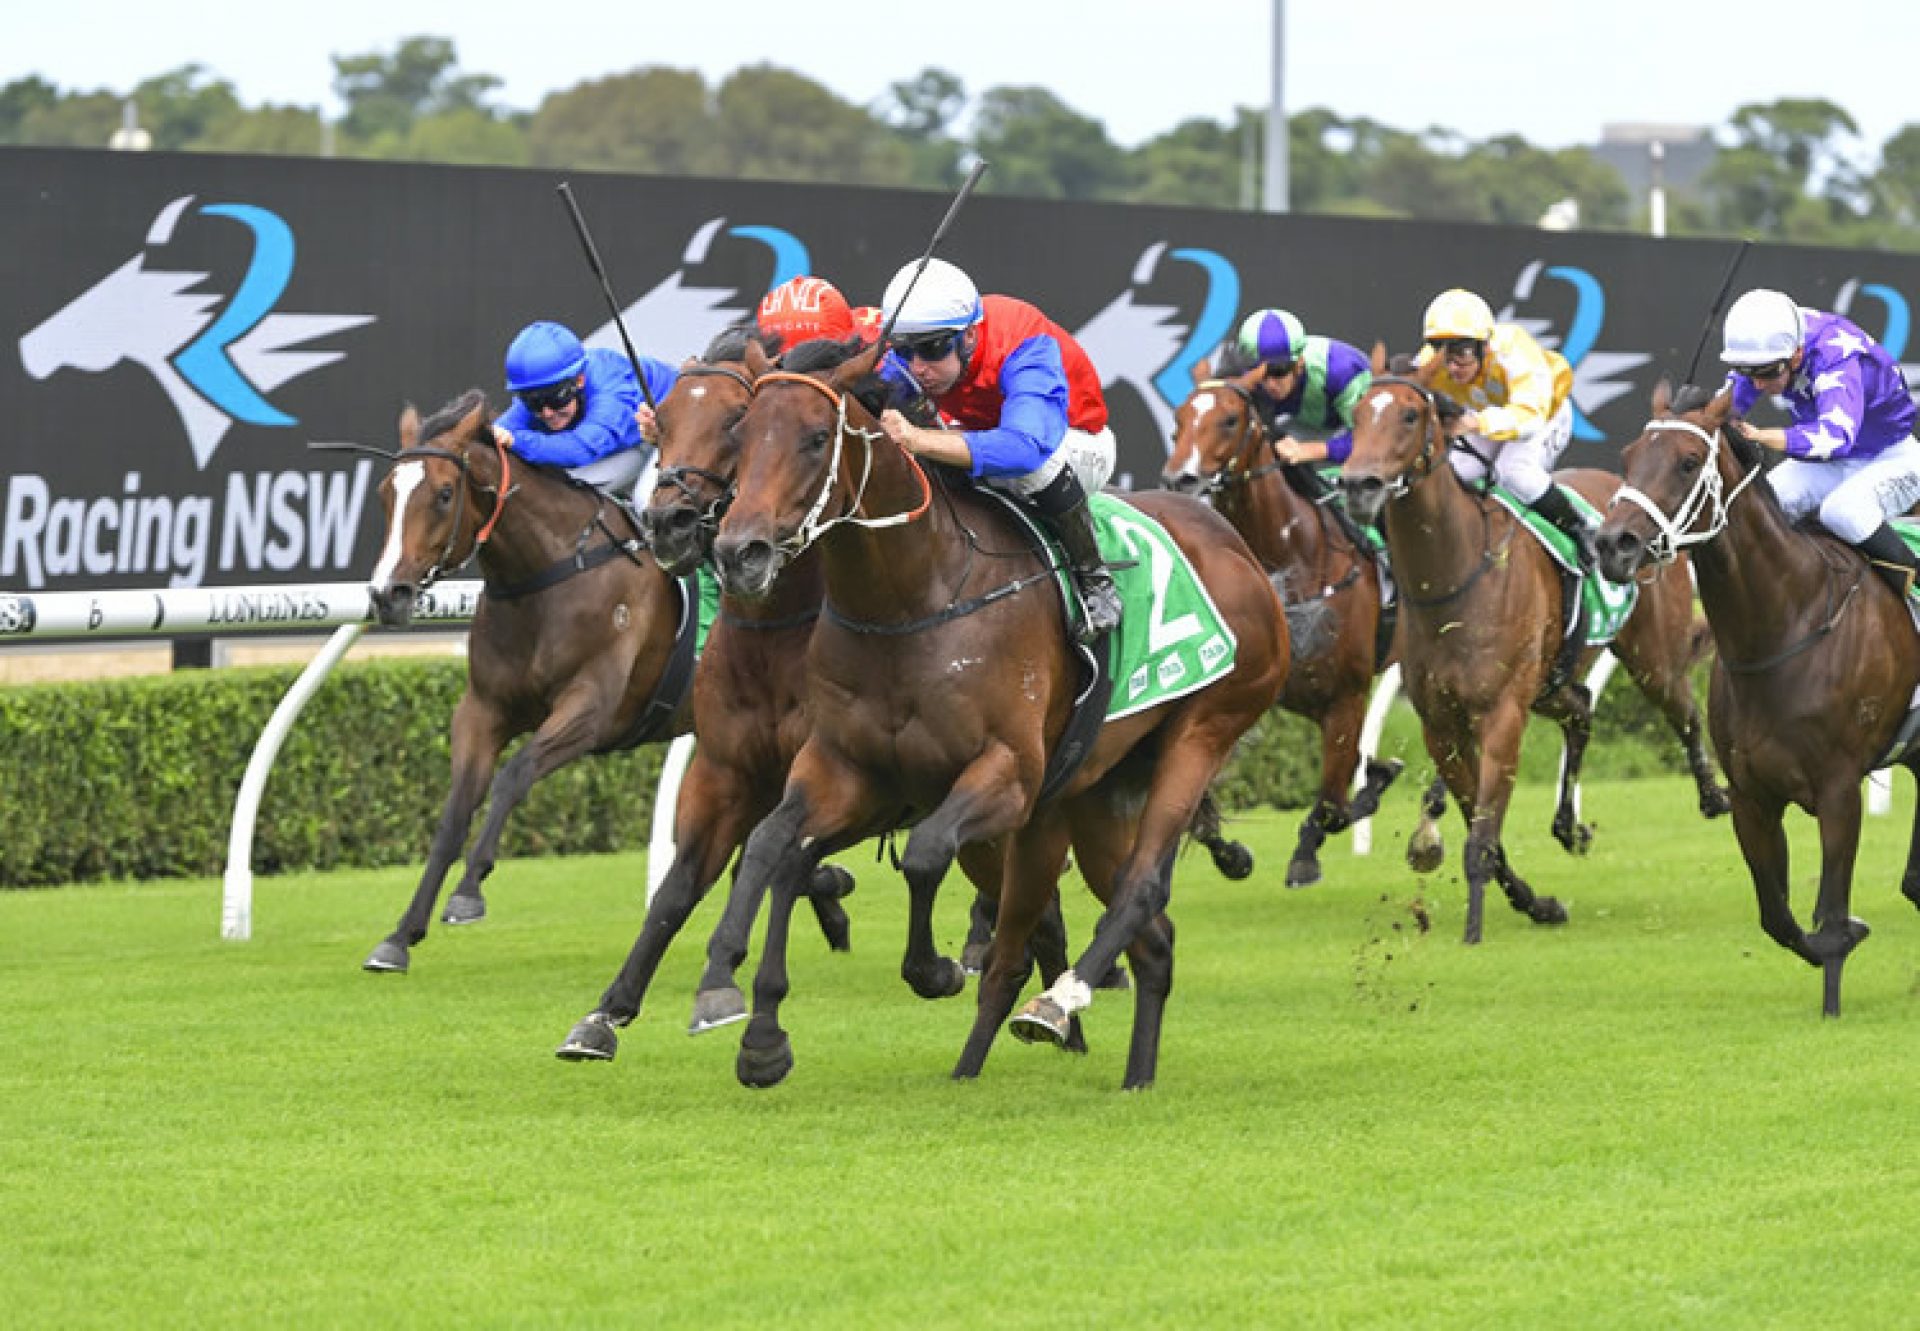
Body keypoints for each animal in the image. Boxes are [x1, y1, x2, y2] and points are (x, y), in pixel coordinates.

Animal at [706, 338, 1290, 1083]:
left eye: (814, 439)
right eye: (739, 436)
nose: (738, 553)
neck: (913, 597)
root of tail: (1236, 545)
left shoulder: (1008, 774)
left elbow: (924, 855)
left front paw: (930, 969)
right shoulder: (848, 768)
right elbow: (773, 845)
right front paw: (747, 1019)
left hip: (1203, 729)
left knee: (1138, 890)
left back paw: (1056, 1004)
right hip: (1093, 797)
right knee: (1145, 939)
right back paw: (1119, 1074)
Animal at [1159, 359, 1405, 887]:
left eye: (1230, 419)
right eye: (1178, 420)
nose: (1179, 480)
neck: (1296, 559)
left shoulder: (1346, 696)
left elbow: (1334, 803)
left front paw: (1306, 856)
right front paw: (1231, 853)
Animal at [1344, 347, 1735, 941]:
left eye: (1409, 416)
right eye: (1356, 416)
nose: (1358, 485)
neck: (1454, 578)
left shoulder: (1502, 713)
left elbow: (1482, 835)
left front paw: (1474, 930)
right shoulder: (1442, 725)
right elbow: (1482, 828)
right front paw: (1535, 903)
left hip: (1651, 660)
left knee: (1684, 711)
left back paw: (1714, 795)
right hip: (1550, 680)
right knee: (1582, 707)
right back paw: (1569, 827)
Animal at [1589, 384, 1920, 1014]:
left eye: (1688, 461)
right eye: (1627, 455)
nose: (1612, 543)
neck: (1788, 625)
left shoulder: (1840, 791)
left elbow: (1831, 912)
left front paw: (1836, 978)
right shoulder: (1750, 795)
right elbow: (1780, 917)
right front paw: (1841, 936)